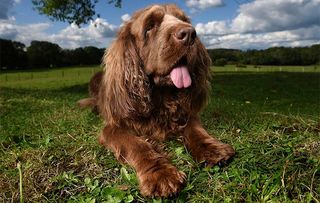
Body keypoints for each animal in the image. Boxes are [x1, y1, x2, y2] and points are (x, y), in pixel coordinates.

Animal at [79, 3, 234, 197]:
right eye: (150, 26)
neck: (161, 98)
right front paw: (161, 175)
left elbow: (196, 130)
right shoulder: (113, 127)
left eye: (183, 20)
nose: (189, 34)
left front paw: (213, 149)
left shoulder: (186, 115)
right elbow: (138, 145)